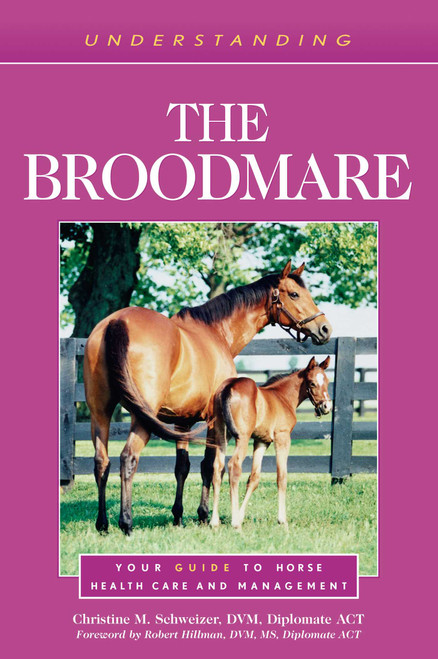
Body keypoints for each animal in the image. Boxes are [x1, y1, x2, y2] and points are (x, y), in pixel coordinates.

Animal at [210, 356, 332, 529]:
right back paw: (234, 523)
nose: (326, 406)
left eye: (327, 381)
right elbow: (282, 477)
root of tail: (229, 386)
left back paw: (214, 521)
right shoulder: (282, 437)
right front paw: (282, 519)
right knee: (234, 466)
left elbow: (254, 479)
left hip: (221, 435)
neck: (282, 397)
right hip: (242, 437)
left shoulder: (261, 441)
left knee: (217, 468)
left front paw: (240, 515)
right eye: (312, 383)